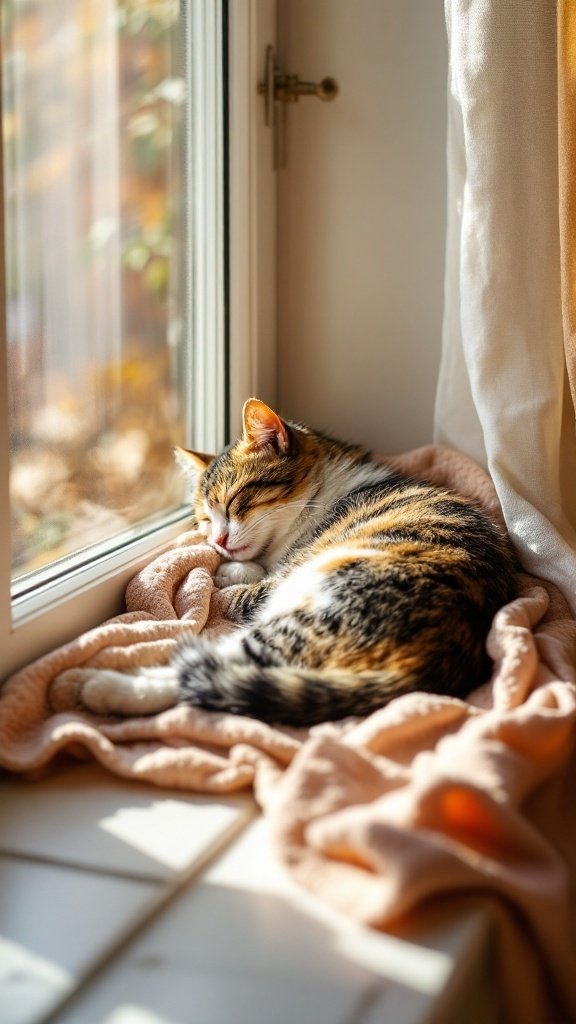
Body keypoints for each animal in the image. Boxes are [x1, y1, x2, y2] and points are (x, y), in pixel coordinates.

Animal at [83, 395, 518, 724]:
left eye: (235, 500)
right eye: (205, 519)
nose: (218, 540)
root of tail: (438, 659)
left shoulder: (285, 572)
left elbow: (245, 588)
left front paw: (228, 573)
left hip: (315, 602)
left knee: (213, 667)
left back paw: (110, 687)